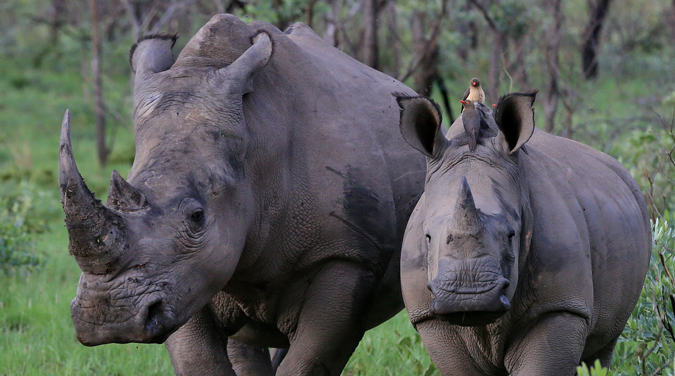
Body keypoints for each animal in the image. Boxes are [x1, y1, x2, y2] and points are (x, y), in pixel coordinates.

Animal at [60, 13, 426, 374]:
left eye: (197, 216)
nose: (108, 318)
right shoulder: (185, 277)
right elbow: (198, 360)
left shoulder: (348, 256)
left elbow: (307, 362)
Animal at [398, 92, 652, 374]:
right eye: (428, 238)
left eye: (511, 235)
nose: (468, 296)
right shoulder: (430, 318)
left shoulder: (560, 306)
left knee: (602, 347)